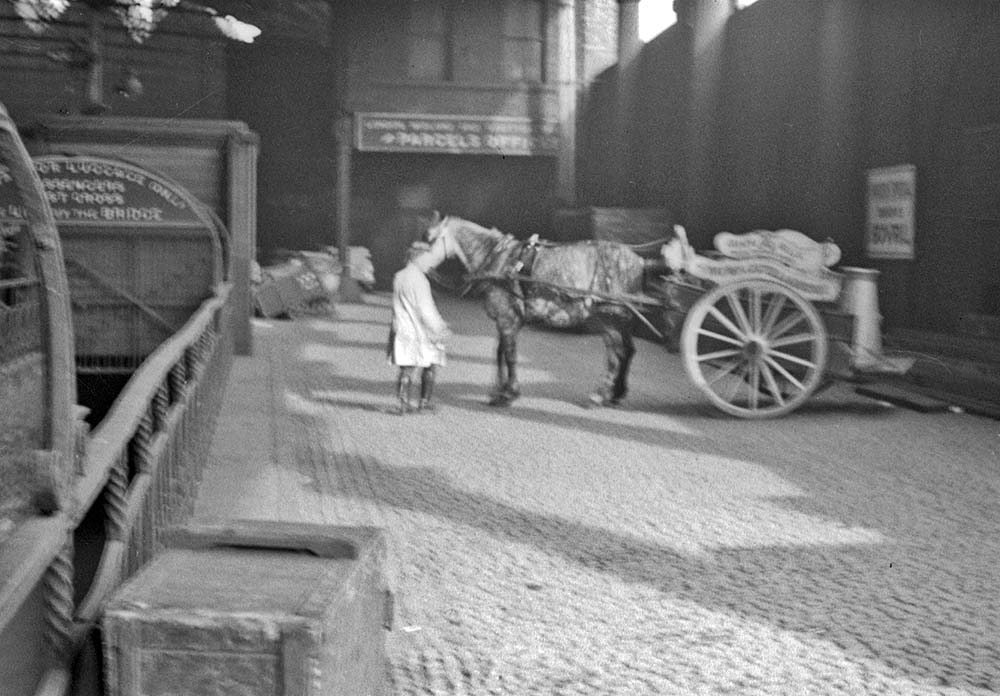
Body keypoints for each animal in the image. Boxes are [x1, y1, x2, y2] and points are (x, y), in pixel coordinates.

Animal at [426, 212, 652, 408]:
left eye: (429, 239)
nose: (424, 268)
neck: (499, 259)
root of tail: (639, 261)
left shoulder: (506, 319)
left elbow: (509, 355)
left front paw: (508, 393)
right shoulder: (508, 320)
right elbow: (500, 353)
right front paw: (500, 391)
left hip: (607, 318)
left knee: (616, 354)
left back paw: (599, 395)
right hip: (620, 319)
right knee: (627, 350)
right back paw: (616, 394)